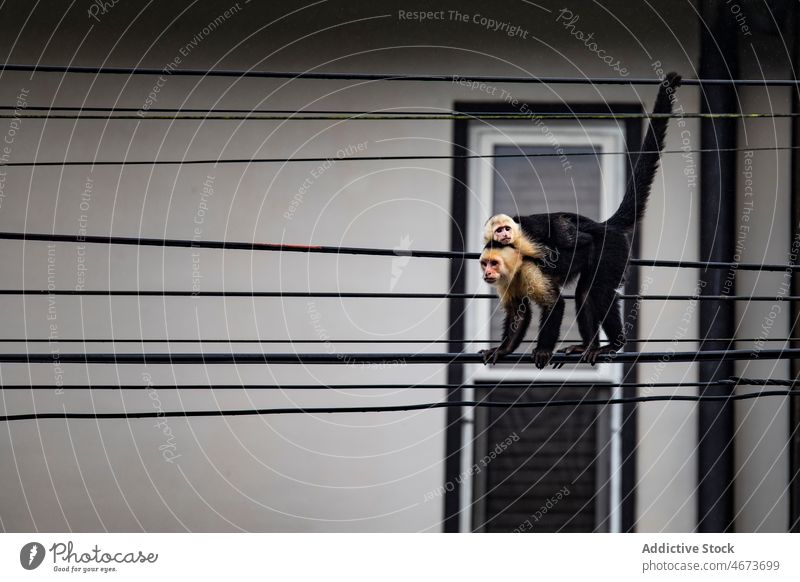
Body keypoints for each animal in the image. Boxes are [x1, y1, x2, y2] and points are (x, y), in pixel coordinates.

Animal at [482, 70, 680, 368]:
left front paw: (543, 349)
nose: (487, 273)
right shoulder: (506, 283)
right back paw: (588, 345)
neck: (513, 265)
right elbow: (519, 314)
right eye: (485, 264)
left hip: (612, 249)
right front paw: (503, 350)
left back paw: (614, 344)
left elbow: (555, 305)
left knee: (598, 289)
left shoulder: (528, 265)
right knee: (585, 293)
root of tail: (604, 225)